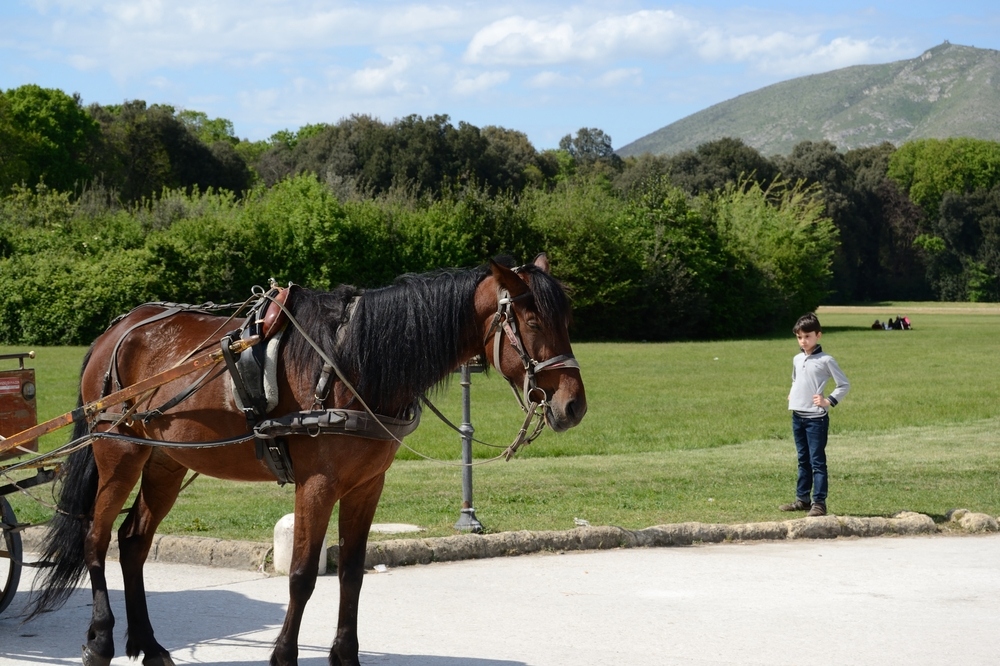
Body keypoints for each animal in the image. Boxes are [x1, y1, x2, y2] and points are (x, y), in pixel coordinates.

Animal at [27, 254, 584, 664]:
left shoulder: (367, 486)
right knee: (97, 539)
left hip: (167, 462)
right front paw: (283, 655)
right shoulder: (316, 484)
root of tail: (119, 329)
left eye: (566, 318)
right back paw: (101, 638)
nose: (573, 405)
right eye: (532, 319)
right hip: (119, 453)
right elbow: (300, 575)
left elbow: (353, 572)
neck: (352, 362)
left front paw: (345, 655)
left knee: (133, 543)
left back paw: (149, 644)